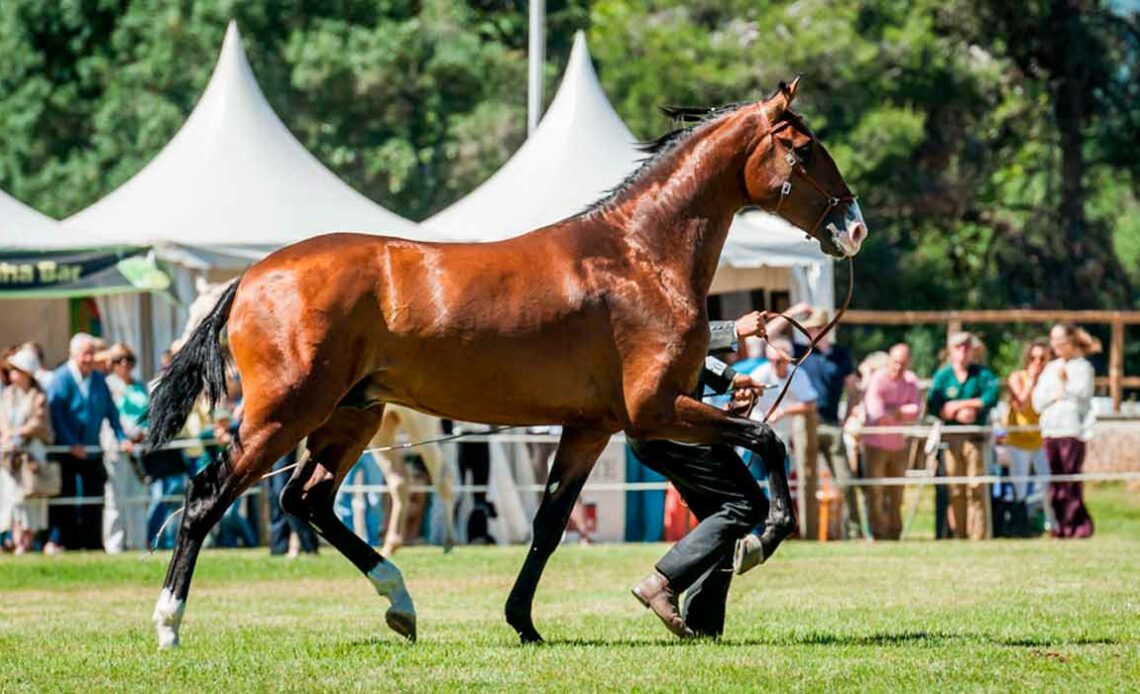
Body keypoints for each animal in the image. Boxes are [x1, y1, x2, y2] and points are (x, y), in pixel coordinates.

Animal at [149, 78, 861, 647]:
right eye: (802, 149)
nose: (852, 228)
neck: (639, 256)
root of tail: (250, 278)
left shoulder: (591, 428)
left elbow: (548, 526)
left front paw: (524, 623)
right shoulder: (656, 411)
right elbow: (767, 442)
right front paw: (758, 541)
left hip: (351, 417)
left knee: (308, 499)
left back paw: (401, 603)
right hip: (283, 415)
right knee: (206, 496)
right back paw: (168, 624)